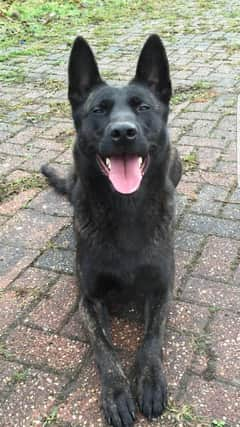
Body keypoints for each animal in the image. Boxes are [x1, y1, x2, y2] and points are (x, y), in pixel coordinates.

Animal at [41, 34, 182, 427]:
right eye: (98, 111)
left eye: (143, 107)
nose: (123, 132)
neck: (126, 210)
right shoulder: (88, 299)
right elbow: (104, 347)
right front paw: (117, 393)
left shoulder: (162, 290)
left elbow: (151, 340)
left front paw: (149, 381)